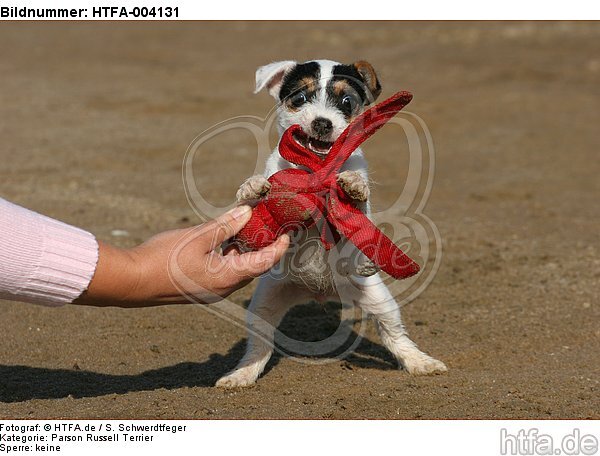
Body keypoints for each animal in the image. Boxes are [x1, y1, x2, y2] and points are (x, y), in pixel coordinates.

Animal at [216, 59, 446, 388]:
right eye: (300, 98)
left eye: (347, 102)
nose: (322, 123)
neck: (317, 166)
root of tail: (320, 292)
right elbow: (250, 202)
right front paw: (252, 187)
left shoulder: (361, 209)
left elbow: (357, 205)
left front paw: (354, 186)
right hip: (264, 305)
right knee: (259, 345)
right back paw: (242, 373)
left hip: (379, 301)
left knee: (395, 335)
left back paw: (420, 362)